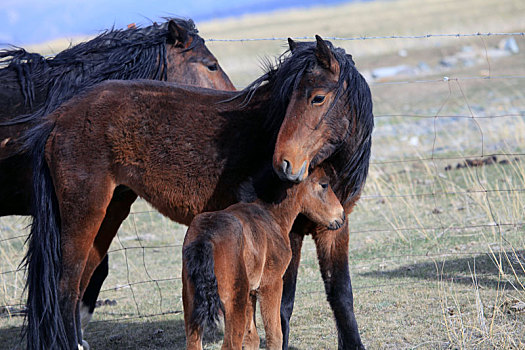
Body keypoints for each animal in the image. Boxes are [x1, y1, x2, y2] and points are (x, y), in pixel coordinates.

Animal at [182, 167, 346, 350]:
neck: (271, 215)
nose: (341, 216)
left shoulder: (251, 292)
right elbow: (275, 335)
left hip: (191, 306)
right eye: (324, 184)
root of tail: (206, 236)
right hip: (233, 304)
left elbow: (252, 338)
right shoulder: (272, 283)